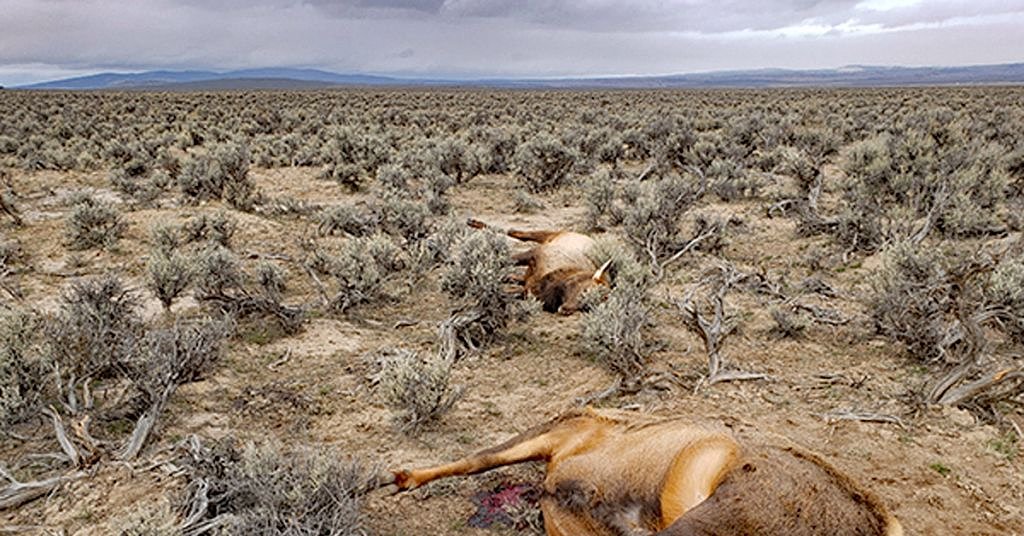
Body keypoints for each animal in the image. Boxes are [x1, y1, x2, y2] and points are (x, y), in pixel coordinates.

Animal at [467, 218, 611, 315]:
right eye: (586, 291)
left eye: (588, 306)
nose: (565, 309)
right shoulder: (535, 254)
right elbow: (505, 260)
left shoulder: (528, 291)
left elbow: (507, 290)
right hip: (552, 235)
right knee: (517, 233)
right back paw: (473, 222)